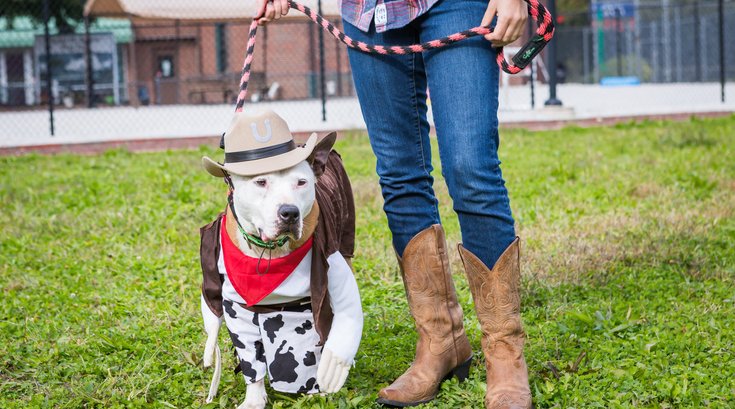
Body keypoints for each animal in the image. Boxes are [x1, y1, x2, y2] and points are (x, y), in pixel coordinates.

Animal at [200, 109, 364, 408]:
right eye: (260, 182)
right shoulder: (237, 309)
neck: (268, 251)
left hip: (346, 242)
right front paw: (254, 398)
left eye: (301, 182)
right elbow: (250, 360)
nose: (289, 213)